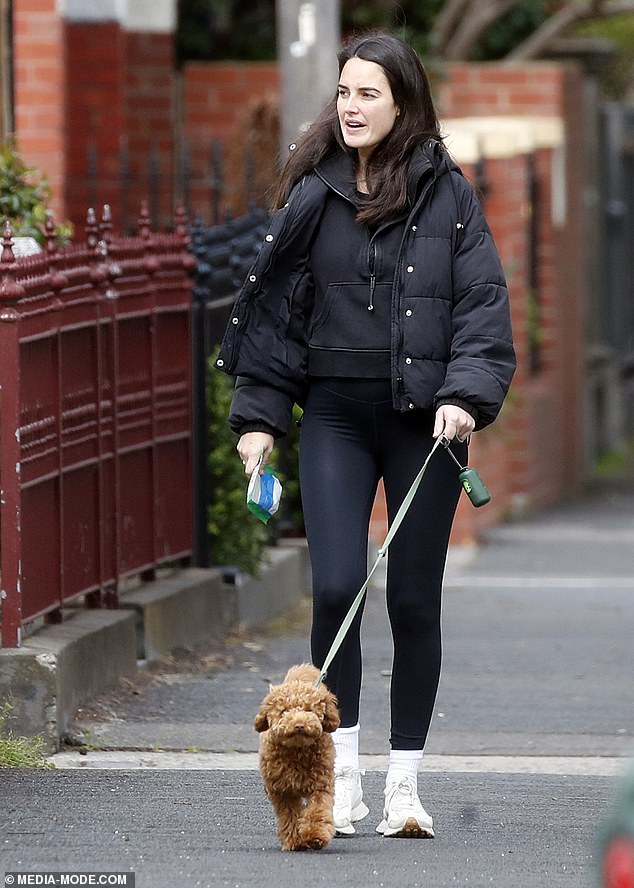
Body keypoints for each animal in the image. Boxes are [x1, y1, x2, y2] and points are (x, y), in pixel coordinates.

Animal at [253, 664, 340, 848]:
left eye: (309, 710)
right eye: (284, 711)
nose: (300, 725)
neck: (297, 750)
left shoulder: (320, 784)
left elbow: (317, 810)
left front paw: (315, 835)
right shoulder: (281, 790)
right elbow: (289, 815)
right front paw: (294, 840)